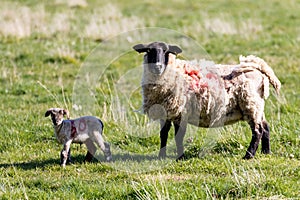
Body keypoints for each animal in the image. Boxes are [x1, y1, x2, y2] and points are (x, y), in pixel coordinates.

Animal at [134, 41, 282, 160]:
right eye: (149, 51)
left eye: (166, 51)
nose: (157, 66)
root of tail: (258, 69)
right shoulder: (166, 112)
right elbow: (163, 134)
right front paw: (161, 156)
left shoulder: (181, 112)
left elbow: (178, 136)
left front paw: (180, 157)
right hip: (258, 106)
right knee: (265, 127)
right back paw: (266, 152)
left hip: (250, 104)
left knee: (258, 131)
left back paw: (248, 156)